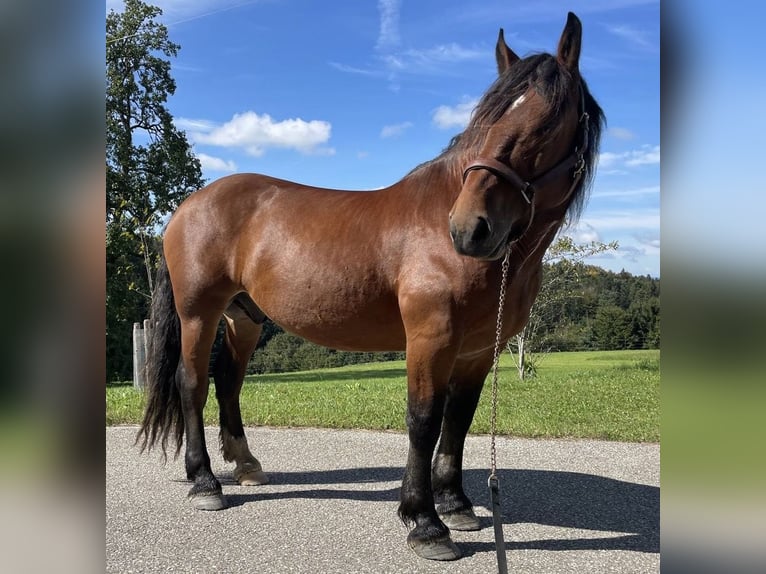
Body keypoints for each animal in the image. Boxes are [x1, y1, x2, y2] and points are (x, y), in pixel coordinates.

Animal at [137, 12, 603, 561]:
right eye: (485, 121)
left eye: (547, 121)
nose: (470, 229)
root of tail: (188, 205)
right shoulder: (431, 337)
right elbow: (424, 420)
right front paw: (424, 522)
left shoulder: (476, 351)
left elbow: (458, 420)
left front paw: (456, 505)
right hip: (199, 313)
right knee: (191, 384)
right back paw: (205, 483)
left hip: (244, 317)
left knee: (228, 381)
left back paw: (247, 466)